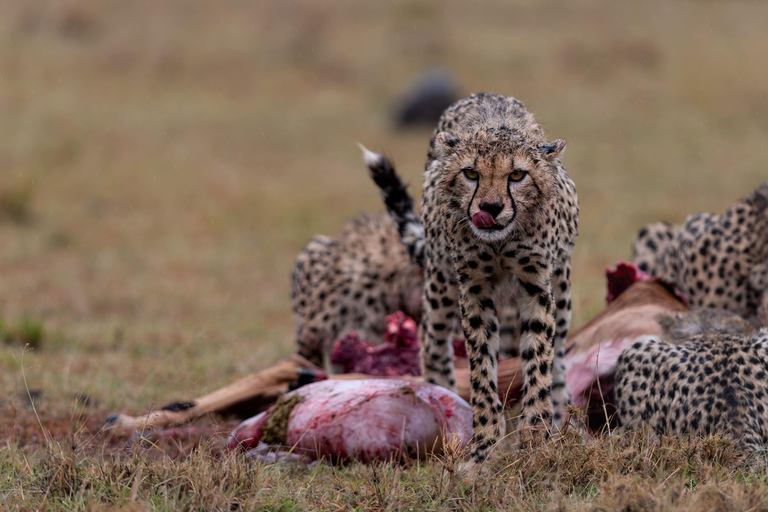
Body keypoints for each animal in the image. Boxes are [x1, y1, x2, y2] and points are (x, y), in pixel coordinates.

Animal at [388, 93, 580, 464]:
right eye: (471, 173)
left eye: (517, 174)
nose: (490, 208)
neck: (500, 243)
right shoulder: (473, 289)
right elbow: (480, 369)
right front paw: (485, 444)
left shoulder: (537, 286)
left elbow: (539, 359)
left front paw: (535, 435)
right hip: (440, 283)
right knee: (433, 341)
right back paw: (442, 398)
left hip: (561, 290)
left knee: (558, 353)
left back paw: (564, 418)